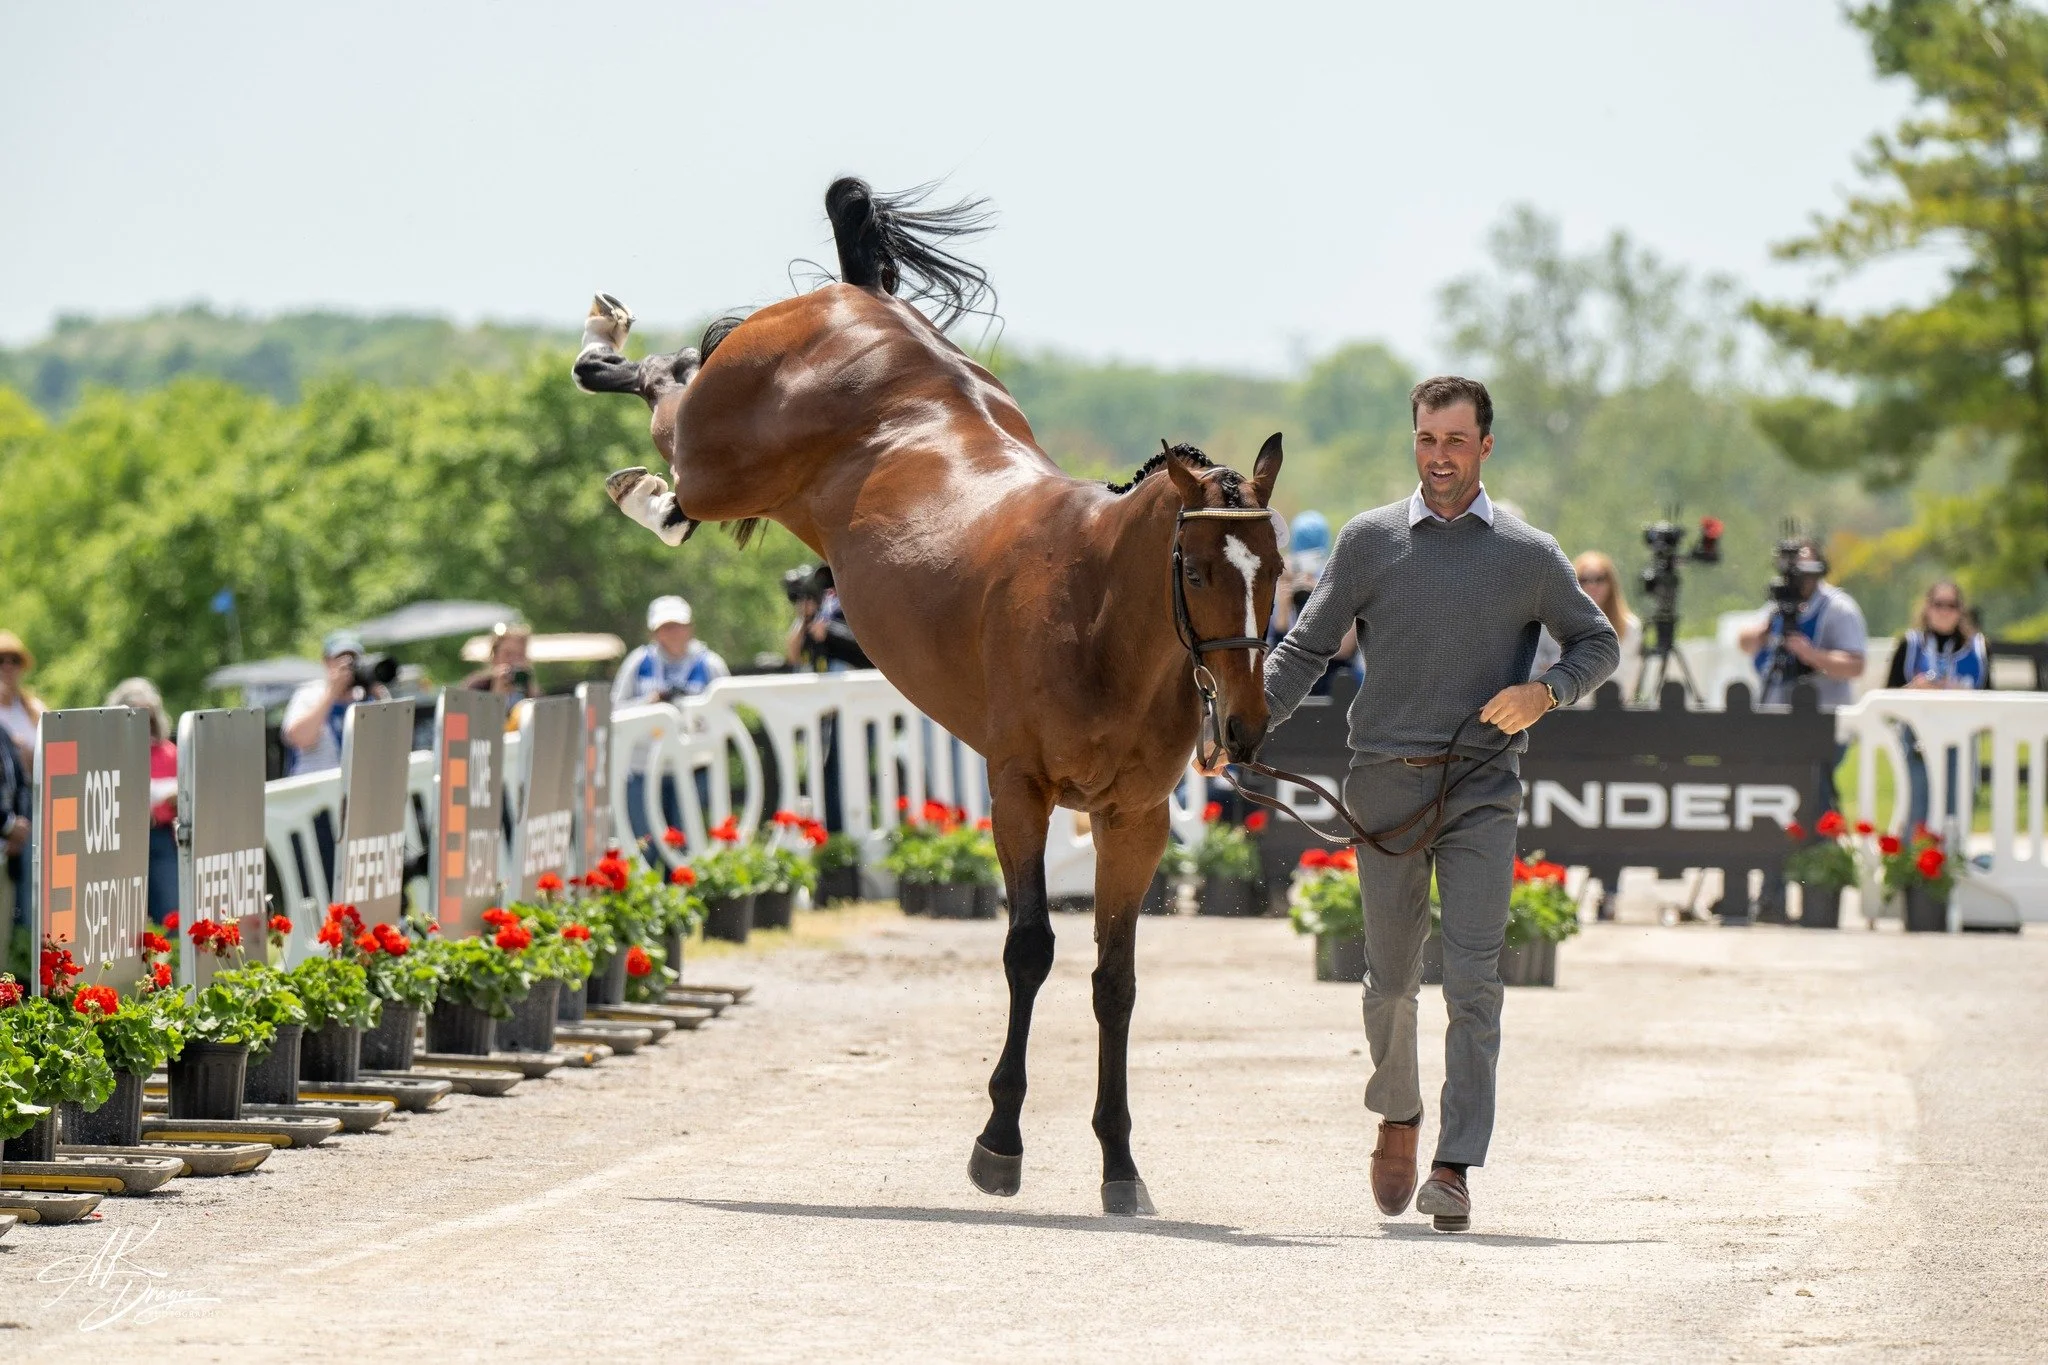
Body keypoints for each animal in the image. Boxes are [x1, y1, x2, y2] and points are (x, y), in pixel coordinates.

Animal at [574, 177, 1285, 1216]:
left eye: (1274, 572)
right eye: (1195, 569)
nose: (1244, 721)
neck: (1097, 612)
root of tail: (849, 302)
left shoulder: (1134, 819)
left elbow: (1114, 980)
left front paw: (1120, 1164)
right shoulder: (1019, 792)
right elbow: (1030, 949)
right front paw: (999, 1142)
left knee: (676, 421)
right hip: (717, 457)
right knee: (664, 394)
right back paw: (612, 369)